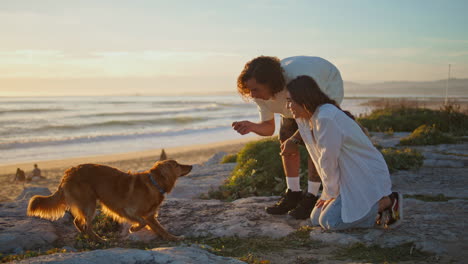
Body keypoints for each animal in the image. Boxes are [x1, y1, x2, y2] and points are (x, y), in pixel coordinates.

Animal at [27, 159, 192, 241]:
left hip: (87, 203)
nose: (191, 165)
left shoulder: (150, 216)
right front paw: (133, 229)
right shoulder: (127, 210)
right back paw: (100, 240)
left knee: (79, 222)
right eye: (177, 165)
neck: (154, 183)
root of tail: (67, 173)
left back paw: (88, 237)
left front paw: (174, 238)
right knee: (86, 225)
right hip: (89, 203)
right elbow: (142, 222)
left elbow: (161, 229)